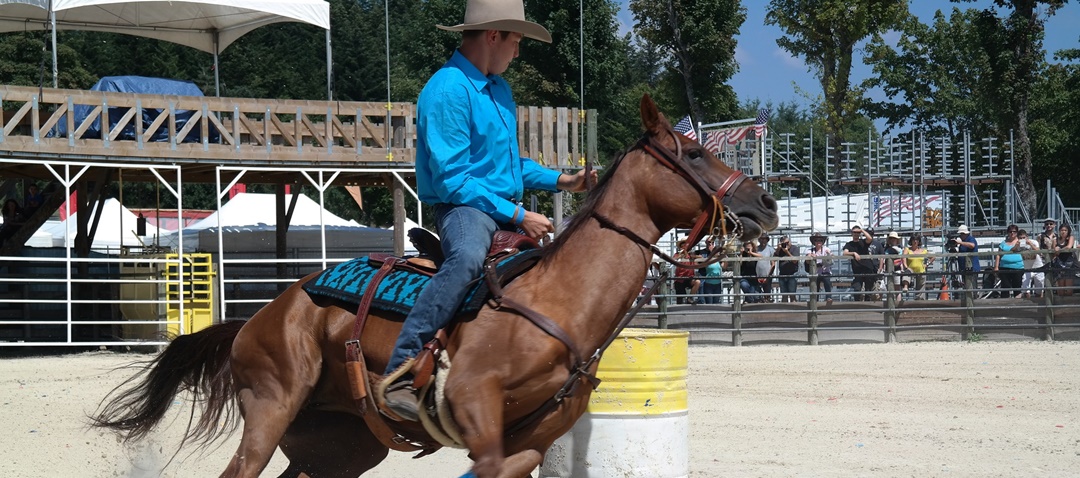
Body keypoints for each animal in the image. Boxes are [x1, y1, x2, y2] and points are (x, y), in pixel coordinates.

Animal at [88, 94, 773, 478]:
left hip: (336, 448)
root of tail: (260, 316)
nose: (764, 203)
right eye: (693, 152)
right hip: (271, 409)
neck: (556, 302)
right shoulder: (473, 405)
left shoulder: (533, 434)